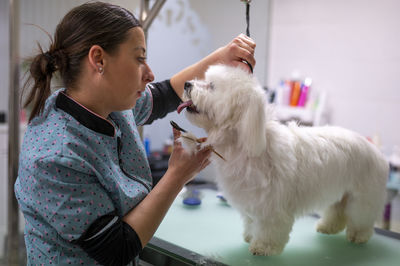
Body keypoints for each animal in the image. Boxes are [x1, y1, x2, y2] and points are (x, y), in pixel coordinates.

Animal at [177, 64, 388, 256]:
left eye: (212, 85)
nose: (186, 84)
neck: (246, 143)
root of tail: (376, 151)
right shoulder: (251, 202)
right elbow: (251, 222)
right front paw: (250, 236)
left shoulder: (272, 206)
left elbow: (270, 228)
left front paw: (263, 247)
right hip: (339, 191)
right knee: (337, 211)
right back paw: (328, 227)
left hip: (362, 197)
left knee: (362, 217)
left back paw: (359, 236)